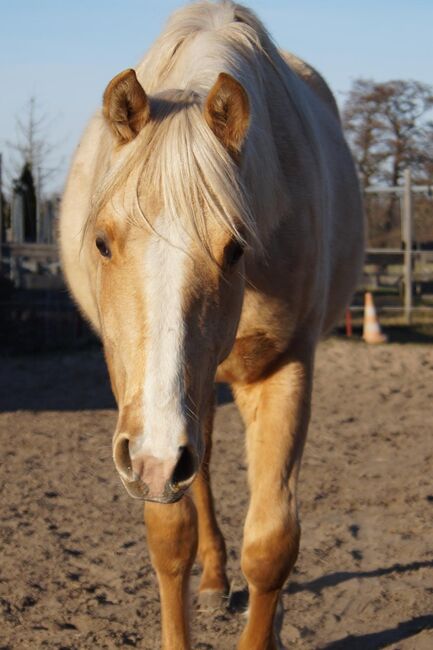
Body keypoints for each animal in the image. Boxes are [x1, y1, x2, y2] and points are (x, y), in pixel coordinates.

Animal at [59, 1, 362, 648]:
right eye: (101, 242)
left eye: (236, 248)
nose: (154, 460)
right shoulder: (135, 396)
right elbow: (171, 536)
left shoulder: (284, 368)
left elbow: (272, 543)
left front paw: (266, 623)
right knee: (197, 474)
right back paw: (214, 580)